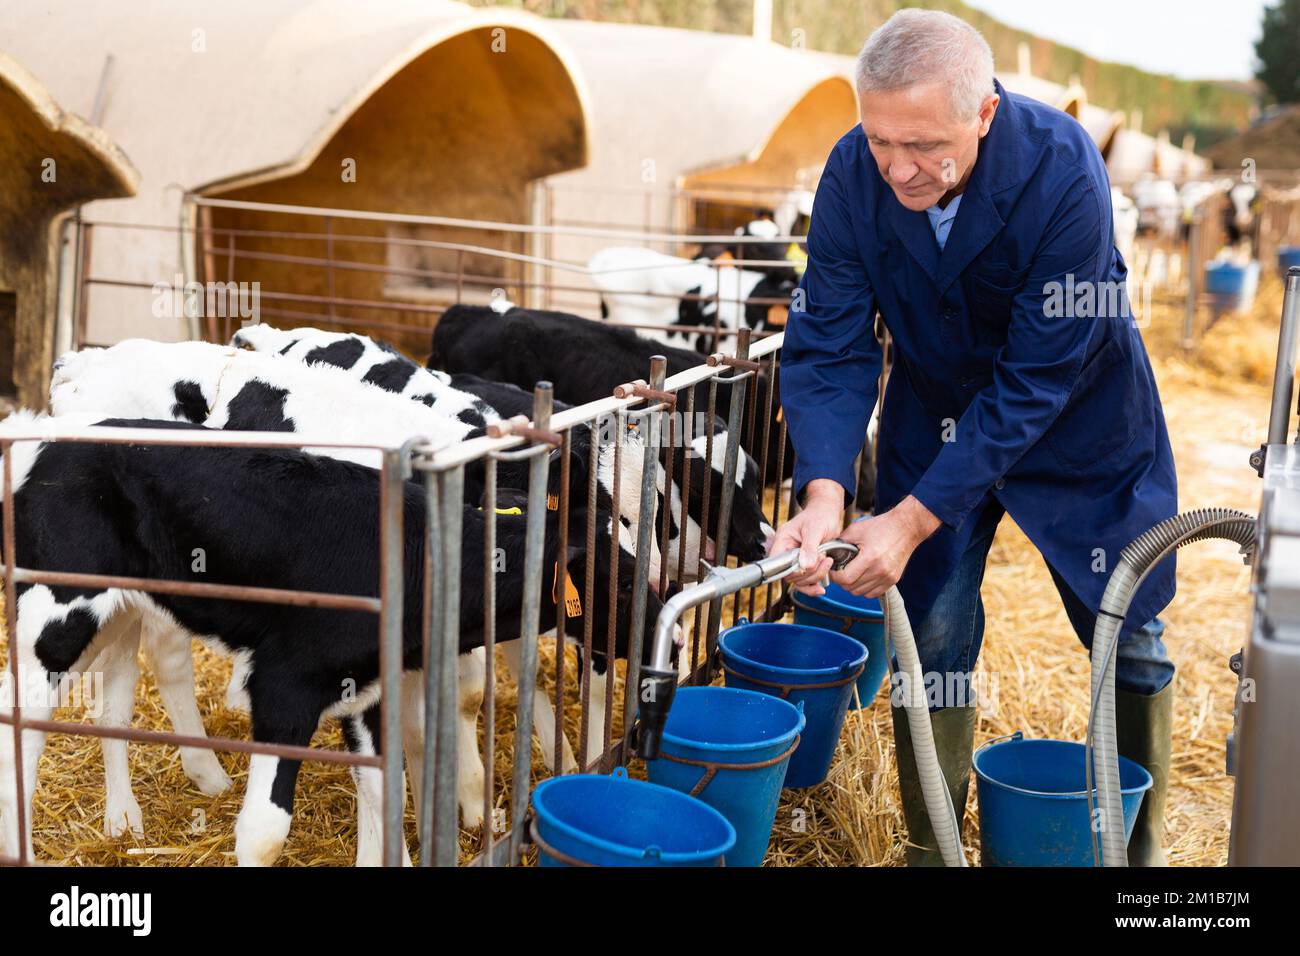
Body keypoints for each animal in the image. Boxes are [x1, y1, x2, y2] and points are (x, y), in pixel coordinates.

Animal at [0, 416, 670, 863]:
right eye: (624, 579)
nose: (671, 629)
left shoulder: (367, 685)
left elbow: (385, 792)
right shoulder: (284, 685)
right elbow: (265, 832)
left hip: (120, 609)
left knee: (112, 700)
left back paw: (123, 819)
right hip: (54, 610)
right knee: (24, 715)